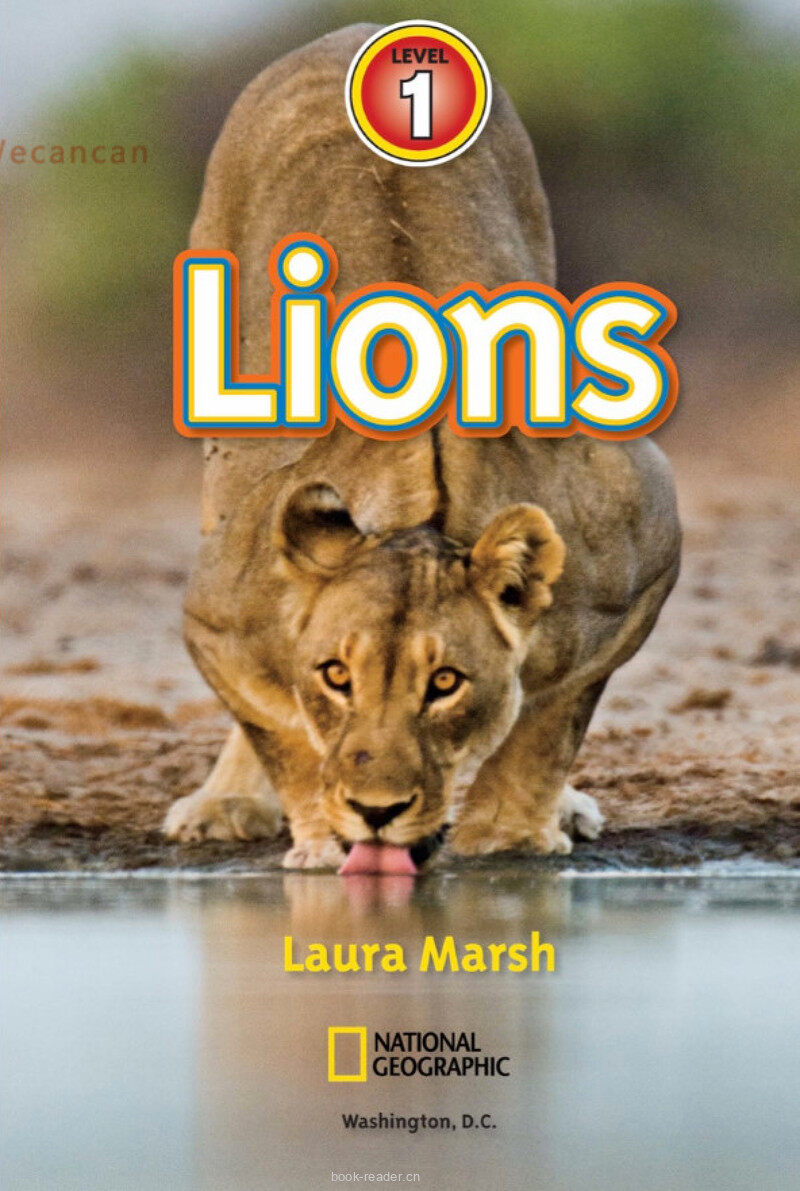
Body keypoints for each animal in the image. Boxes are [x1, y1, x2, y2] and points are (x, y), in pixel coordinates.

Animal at [163, 25, 681, 872]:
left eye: (444, 682)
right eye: (335, 675)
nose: (376, 811)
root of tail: (351, 31)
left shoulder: (639, 554)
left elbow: (548, 721)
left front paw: (508, 832)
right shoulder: (216, 614)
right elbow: (281, 730)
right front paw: (320, 835)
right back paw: (223, 805)